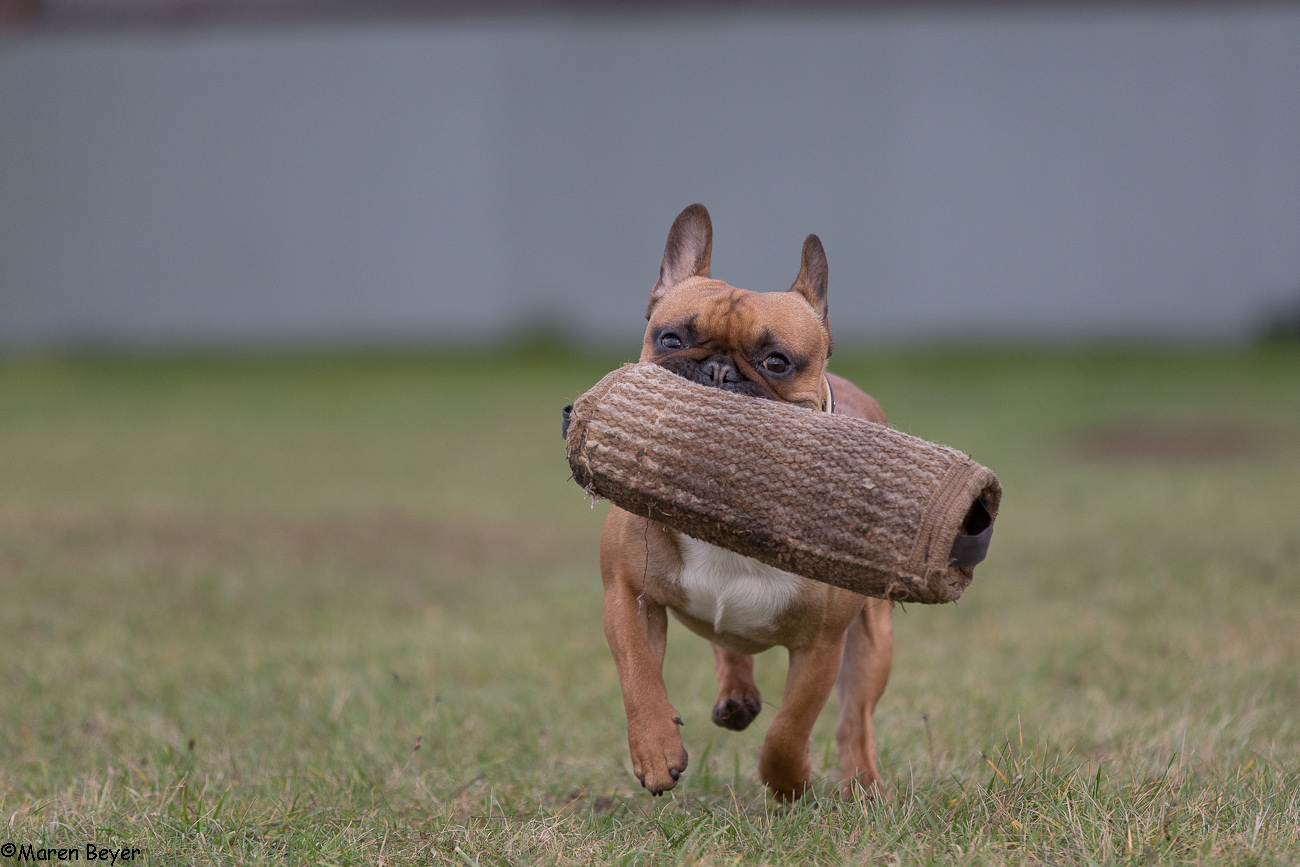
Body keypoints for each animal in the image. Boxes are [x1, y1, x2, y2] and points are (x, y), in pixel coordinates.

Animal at [600, 201, 894, 800]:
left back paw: (864, 784)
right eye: (670, 339)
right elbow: (638, 673)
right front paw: (656, 751)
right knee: (726, 643)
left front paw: (789, 781)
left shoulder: (822, 644)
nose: (717, 370)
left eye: (777, 361)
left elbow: (792, 726)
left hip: (873, 639)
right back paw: (736, 695)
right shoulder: (626, 591)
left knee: (856, 717)